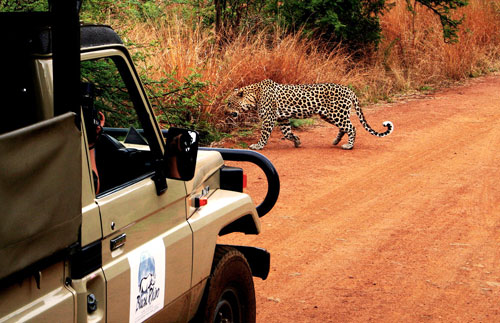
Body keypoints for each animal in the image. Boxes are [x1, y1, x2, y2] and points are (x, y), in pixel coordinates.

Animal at [227, 79, 394, 150]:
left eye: (229, 103)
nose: (224, 112)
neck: (254, 96)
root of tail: (349, 89)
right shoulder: (283, 118)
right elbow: (287, 133)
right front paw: (297, 141)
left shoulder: (269, 119)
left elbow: (264, 135)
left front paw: (258, 146)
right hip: (331, 115)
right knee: (344, 127)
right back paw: (336, 141)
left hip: (336, 114)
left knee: (351, 127)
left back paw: (348, 145)